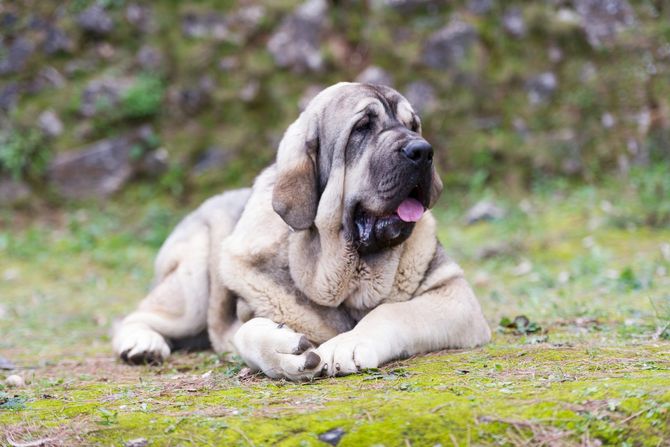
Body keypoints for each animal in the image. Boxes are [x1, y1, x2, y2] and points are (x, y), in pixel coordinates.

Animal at [111, 82, 494, 380]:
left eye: (413, 125)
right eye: (362, 128)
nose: (422, 151)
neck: (347, 274)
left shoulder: (454, 294)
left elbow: (393, 311)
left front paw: (349, 343)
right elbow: (245, 333)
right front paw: (284, 352)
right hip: (192, 279)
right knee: (141, 315)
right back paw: (142, 344)